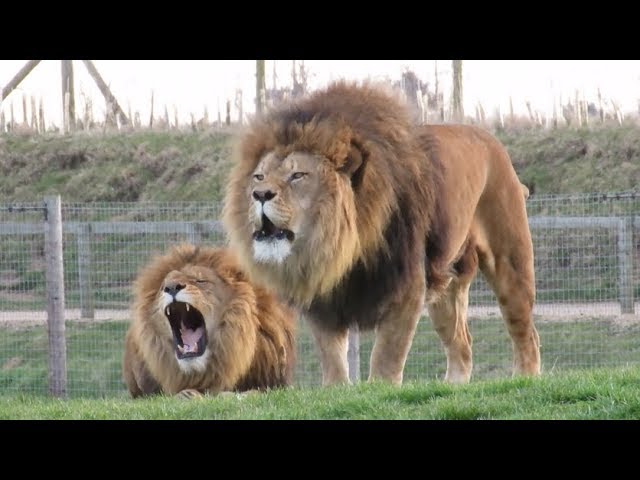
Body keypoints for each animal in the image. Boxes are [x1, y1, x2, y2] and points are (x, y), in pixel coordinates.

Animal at [222, 81, 540, 385]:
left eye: (297, 175)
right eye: (259, 176)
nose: (259, 194)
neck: (340, 246)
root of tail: (493, 142)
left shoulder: (406, 286)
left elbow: (387, 353)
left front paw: (379, 389)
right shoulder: (323, 299)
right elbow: (332, 357)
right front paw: (336, 391)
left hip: (509, 262)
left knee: (526, 332)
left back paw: (524, 378)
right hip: (446, 288)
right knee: (462, 343)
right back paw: (453, 386)